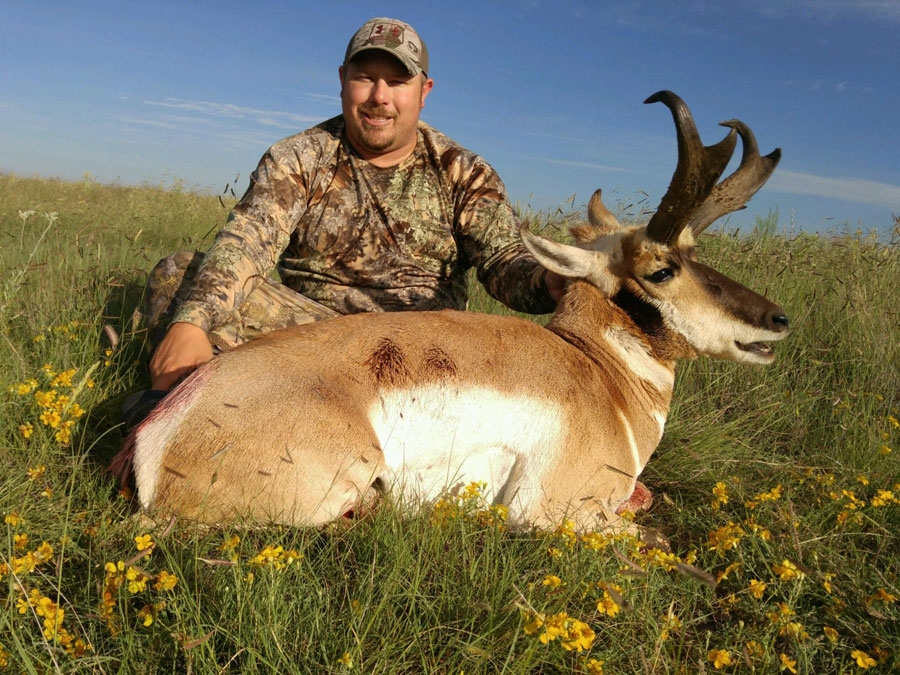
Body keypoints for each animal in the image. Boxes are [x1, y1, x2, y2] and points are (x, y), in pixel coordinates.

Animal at [112, 91, 788, 532]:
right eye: (661, 269)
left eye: (697, 255)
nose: (778, 320)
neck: (599, 371)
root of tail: (160, 430)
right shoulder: (563, 514)